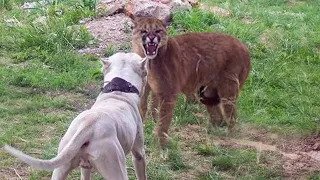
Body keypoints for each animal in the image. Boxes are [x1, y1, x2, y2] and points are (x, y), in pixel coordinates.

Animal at [4, 52, 149, 180]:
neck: (119, 90)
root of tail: (88, 126)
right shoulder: (138, 153)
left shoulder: (85, 167)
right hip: (115, 168)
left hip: (61, 167)